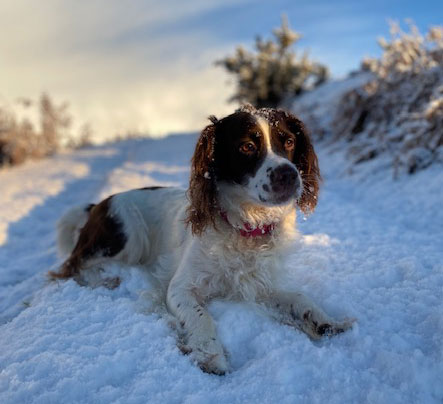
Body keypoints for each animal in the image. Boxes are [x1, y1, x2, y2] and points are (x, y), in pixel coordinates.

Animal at [49, 104, 354, 376]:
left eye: (289, 141)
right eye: (247, 146)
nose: (289, 174)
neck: (245, 227)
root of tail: (98, 203)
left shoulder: (261, 285)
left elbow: (300, 297)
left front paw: (326, 322)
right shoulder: (181, 288)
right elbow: (201, 317)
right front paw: (211, 356)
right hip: (128, 235)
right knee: (70, 267)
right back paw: (108, 280)